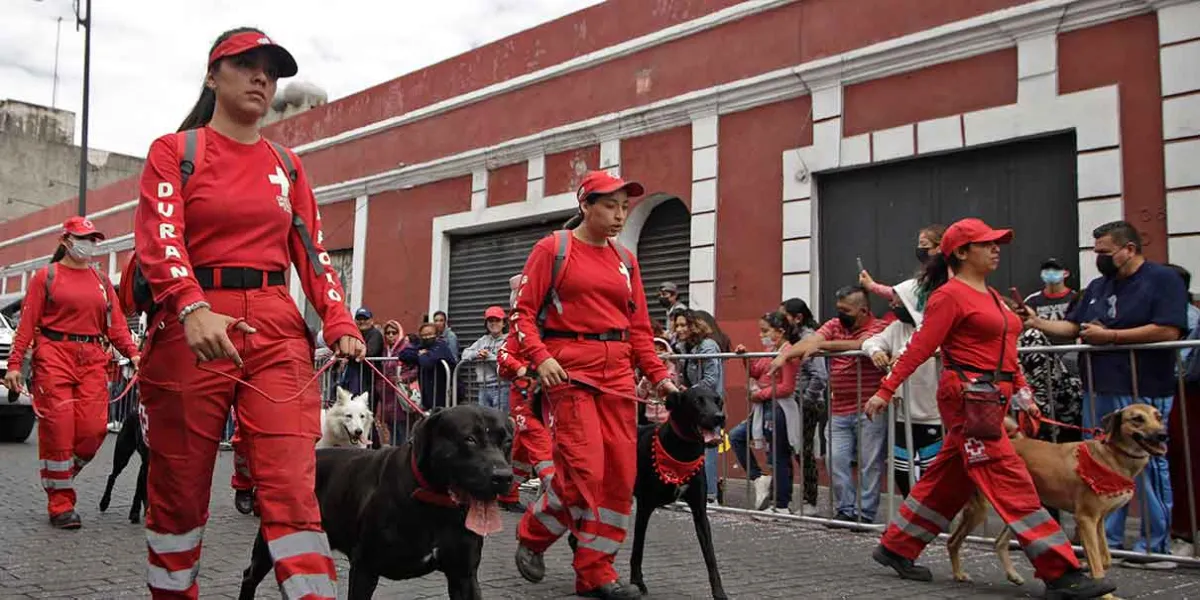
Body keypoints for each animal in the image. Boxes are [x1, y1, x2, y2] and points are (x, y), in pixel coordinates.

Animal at [237, 403, 511, 600]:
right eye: (469, 439)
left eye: (507, 440)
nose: (503, 477)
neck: (434, 504)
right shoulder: (365, 569)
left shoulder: (463, 576)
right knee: (250, 575)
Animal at [633, 388, 724, 600]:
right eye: (697, 401)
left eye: (717, 401)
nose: (719, 417)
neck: (683, 451)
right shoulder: (644, 506)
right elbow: (638, 547)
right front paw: (637, 582)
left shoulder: (700, 512)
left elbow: (711, 557)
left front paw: (719, 593)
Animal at [945, 403, 1161, 585]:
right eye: (1137, 418)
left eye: (1158, 416)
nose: (1163, 434)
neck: (1110, 457)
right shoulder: (1086, 519)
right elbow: (1097, 561)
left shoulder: (1098, 520)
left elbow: (1105, 558)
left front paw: (1085, 567)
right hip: (982, 509)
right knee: (952, 541)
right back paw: (958, 574)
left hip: (1022, 509)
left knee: (998, 543)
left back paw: (1012, 575)